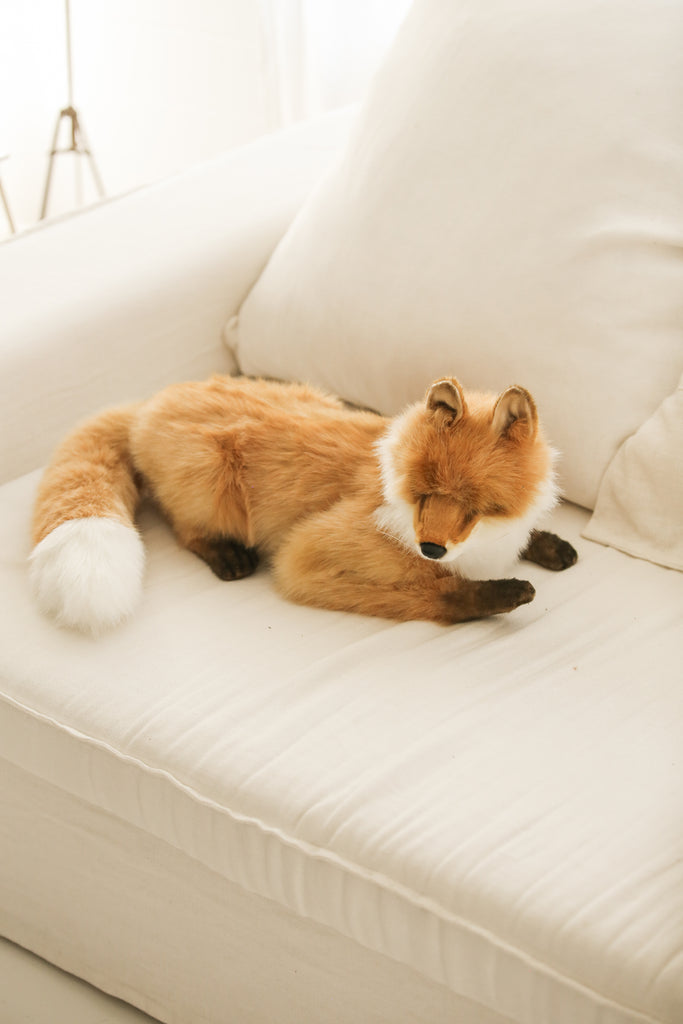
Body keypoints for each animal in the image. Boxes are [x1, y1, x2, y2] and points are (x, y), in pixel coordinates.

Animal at [29, 374, 577, 633]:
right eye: (423, 494)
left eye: (470, 504)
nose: (431, 547)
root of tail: (151, 400)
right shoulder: (307, 556)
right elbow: (434, 593)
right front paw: (498, 595)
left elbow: (524, 538)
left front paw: (548, 546)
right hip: (211, 486)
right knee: (184, 529)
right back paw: (225, 555)